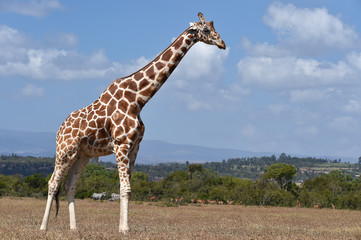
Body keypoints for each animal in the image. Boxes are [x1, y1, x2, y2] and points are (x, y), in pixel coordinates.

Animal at [40, 12, 225, 233]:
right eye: (206, 29)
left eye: (214, 28)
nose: (222, 43)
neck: (138, 99)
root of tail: (59, 129)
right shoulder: (121, 144)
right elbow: (124, 188)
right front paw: (125, 228)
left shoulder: (135, 146)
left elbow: (127, 189)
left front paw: (123, 227)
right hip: (64, 151)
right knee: (52, 183)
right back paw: (43, 227)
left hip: (82, 155)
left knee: (70, 185)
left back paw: (74, 228)